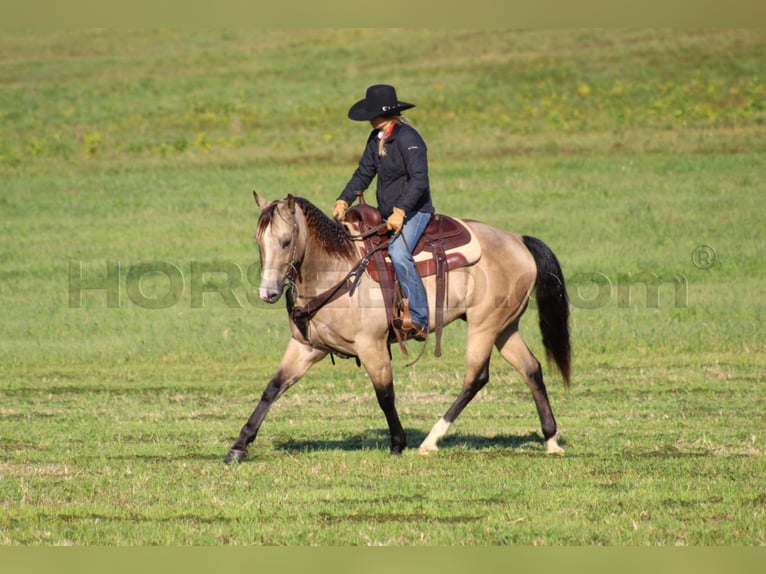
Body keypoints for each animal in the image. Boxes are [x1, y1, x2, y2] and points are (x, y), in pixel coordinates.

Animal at [222, 194, 568, 464]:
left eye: (285, 241)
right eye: (258, 242)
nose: (267, 293)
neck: (338, 270)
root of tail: (518, 240)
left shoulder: (371, 345)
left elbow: (384, 393)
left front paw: (398, 444)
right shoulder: (305, 347)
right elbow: (273, 388)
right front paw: (239, 446)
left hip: (485, 325)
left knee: (476, 377)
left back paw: (431, 441)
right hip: (505, 327)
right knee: (531, 368)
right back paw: (551, 440)